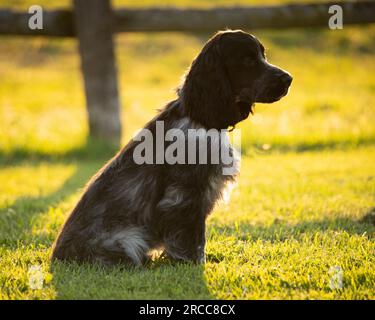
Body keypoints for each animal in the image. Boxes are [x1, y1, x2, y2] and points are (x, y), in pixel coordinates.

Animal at [52, 30, 294, 266]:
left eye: (263, 55)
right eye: (248, 60)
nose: (289, 79)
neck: (200, 118)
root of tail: (56, 257)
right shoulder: (185, 194)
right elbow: (193, 238)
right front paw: (195, 263)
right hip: (128, 239)